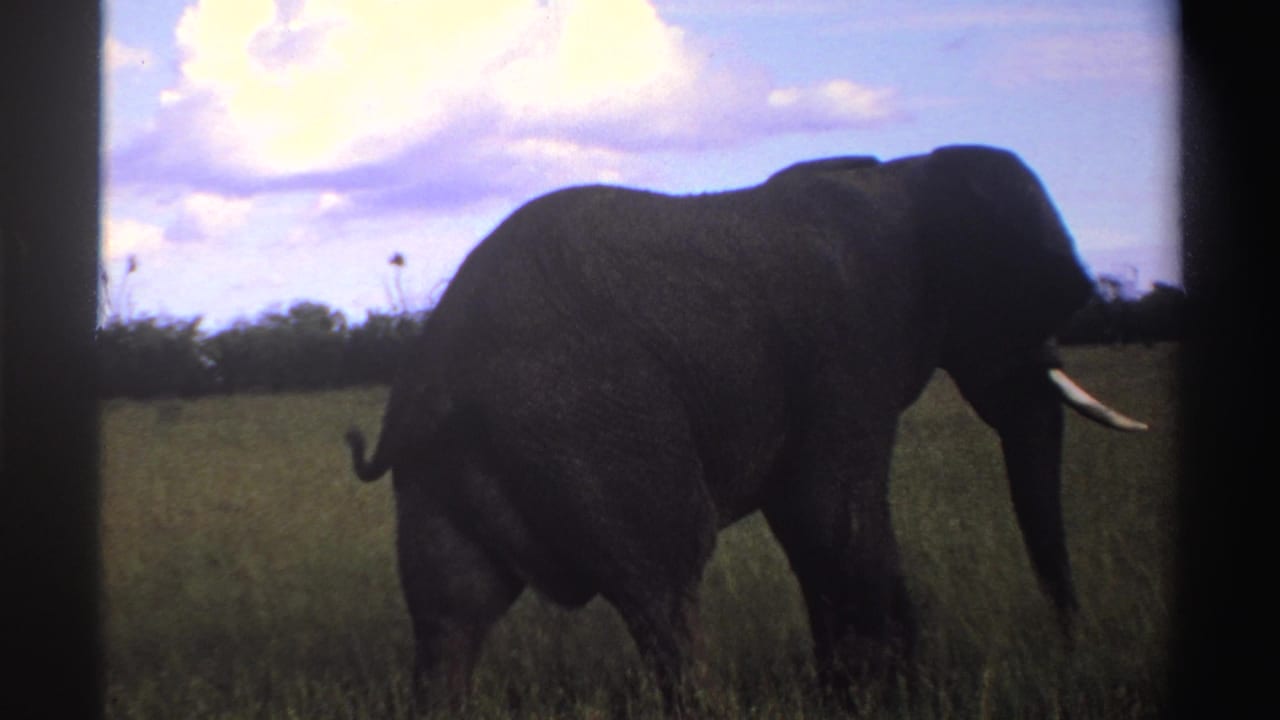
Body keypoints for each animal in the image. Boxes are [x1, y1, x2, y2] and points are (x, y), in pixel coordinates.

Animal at [345, 144, 1146, 712]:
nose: (1072, 647)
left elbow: (817, 528)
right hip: (591, 429)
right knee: (666, 588)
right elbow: (835, 519)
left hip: (443, 470)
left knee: (450, 618)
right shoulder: (849, 342)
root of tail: (431, 383)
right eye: (1041, 304)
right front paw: (895, 699)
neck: (908, 178)